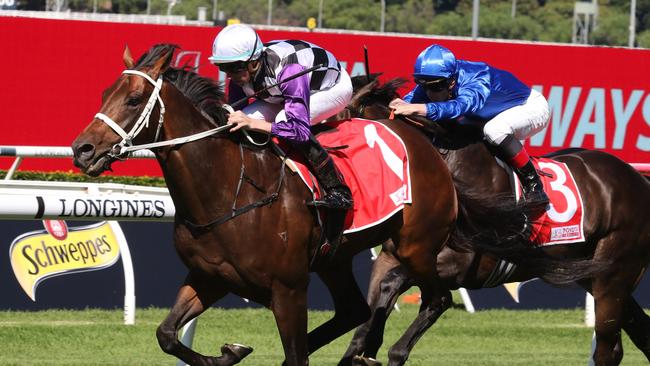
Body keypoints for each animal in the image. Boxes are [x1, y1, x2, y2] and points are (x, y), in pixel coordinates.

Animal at [342, 78, 650, 364]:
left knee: (607, 348)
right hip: (593, 274)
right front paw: (365, 345)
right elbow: (378, 296)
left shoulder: (464, 265)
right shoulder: (390, 257)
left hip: (613, 275)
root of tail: (639, 180)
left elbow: (400, 287)